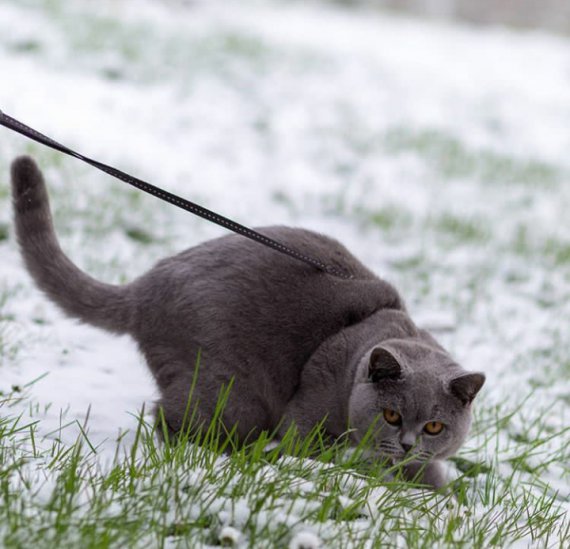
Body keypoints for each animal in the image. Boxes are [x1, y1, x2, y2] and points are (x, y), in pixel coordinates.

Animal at [11, 156, 482, 486]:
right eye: (391, 415)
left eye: (435, 426)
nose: (406, 444)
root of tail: (145, 286)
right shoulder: (308, 414)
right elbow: (311, 448)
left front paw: (436, 491)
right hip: (235, 390)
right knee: (173, 418)